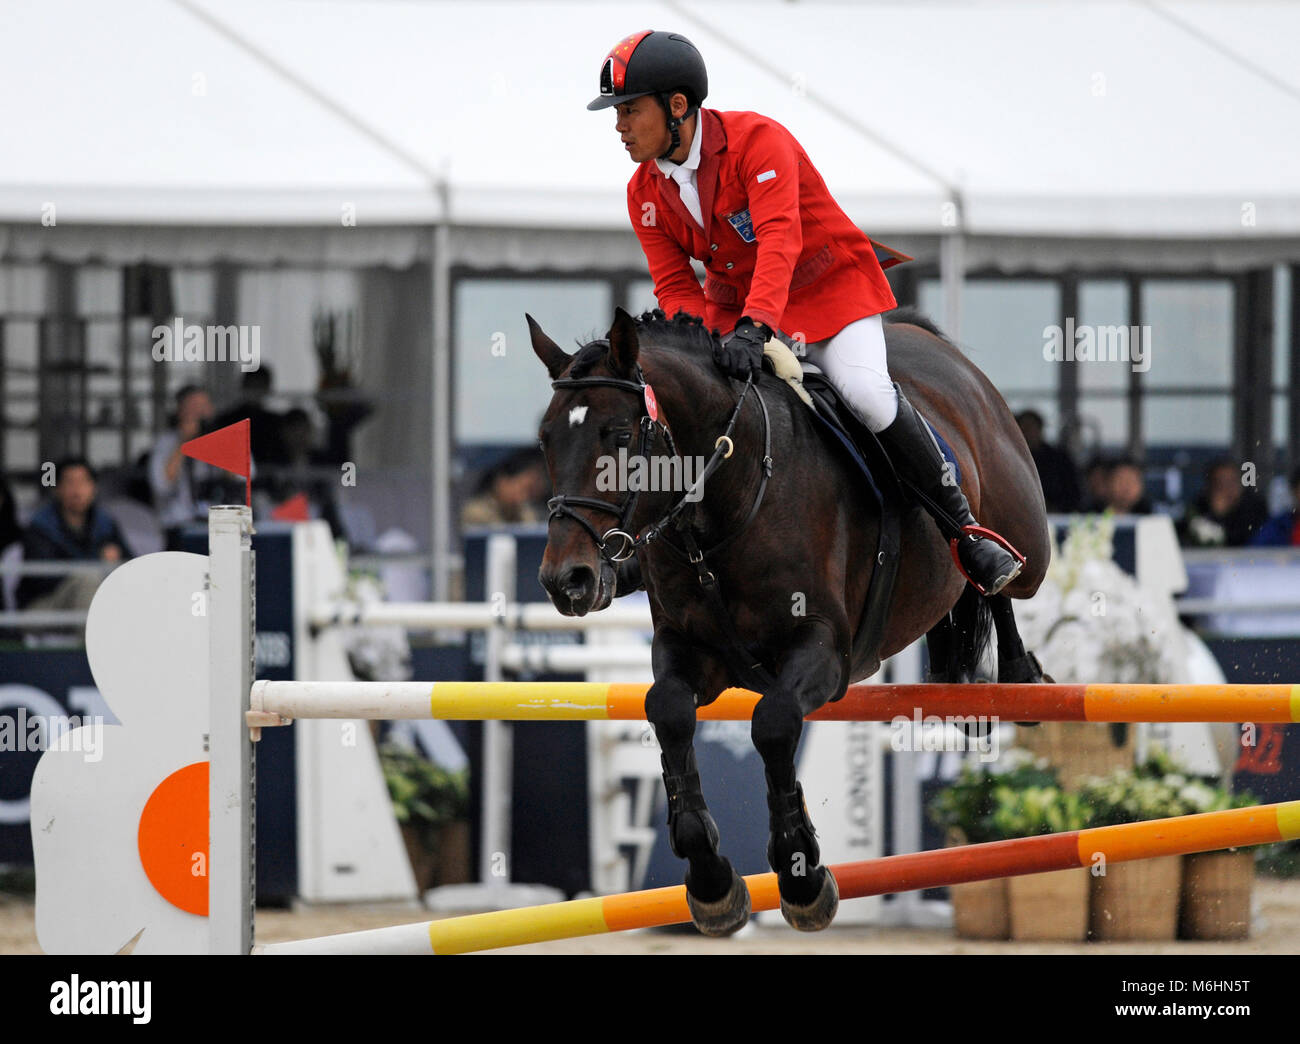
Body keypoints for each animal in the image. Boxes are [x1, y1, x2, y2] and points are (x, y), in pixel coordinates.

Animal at [533, 306, 1050, 936]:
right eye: (546, 440)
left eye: (620, 436)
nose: (568, 581)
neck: (725, 499)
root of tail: (932, 346)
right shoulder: (687, 649)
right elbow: (669, 711)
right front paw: (711, 880)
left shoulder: (823, 651)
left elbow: (774, 724)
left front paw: (802, 877)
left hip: (1028, 538)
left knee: (1001, 577)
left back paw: (1018, 665)